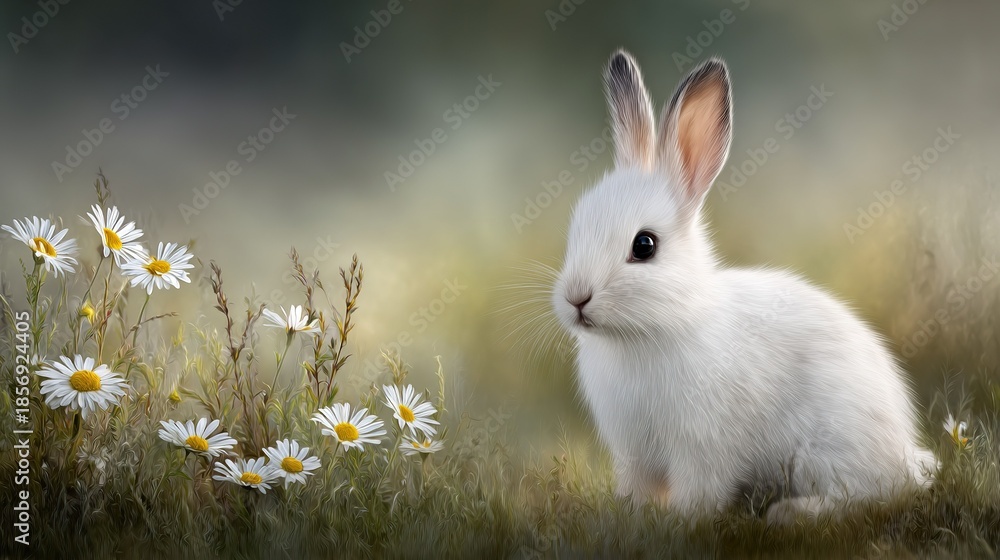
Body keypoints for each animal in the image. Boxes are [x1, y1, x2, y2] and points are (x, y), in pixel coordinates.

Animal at [551, 49, 937, 524]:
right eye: (576, 227)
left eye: (644, 246)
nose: (576, 298)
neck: (656, 326)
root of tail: (904, 453)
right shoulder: (633, 454)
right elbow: (638, 488)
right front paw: (632, 513)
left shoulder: (702, 445)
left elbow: (701, 490)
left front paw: (683, 519)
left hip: (823, 453)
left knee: (869, 495)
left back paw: (791, 513)